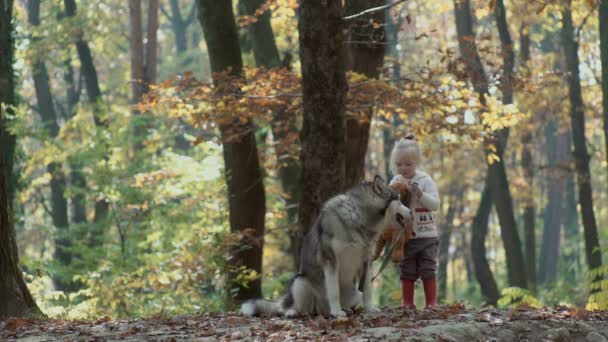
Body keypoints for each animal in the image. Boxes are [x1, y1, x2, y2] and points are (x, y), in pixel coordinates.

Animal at [240, 176, 410, 318]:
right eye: (399, 200)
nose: (411, 211)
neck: (359, 218)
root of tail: (321, 310)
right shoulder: (330, 260)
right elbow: (334, 291)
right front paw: (337, 312)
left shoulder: (367, 261)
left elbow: (367, 290)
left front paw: (370, 309)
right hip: (300, 282)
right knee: (292, 308)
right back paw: (295, 312)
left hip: (354, 293)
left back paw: (344, 309)